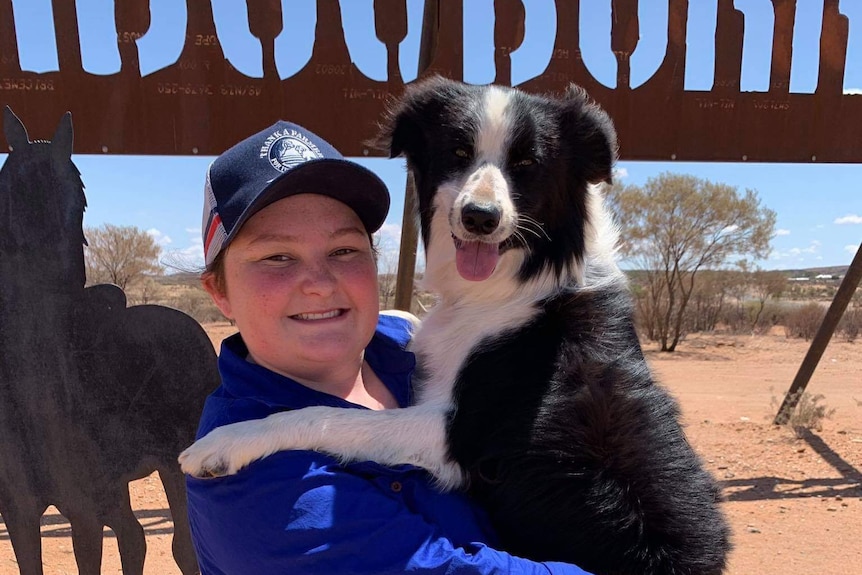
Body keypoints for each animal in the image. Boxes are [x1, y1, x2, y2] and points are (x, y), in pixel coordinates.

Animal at [179, 77, 732, 575]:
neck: (521, 283)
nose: (480, 217)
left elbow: (325, 415)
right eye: (459, 152)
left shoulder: (457, 435)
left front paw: (225, 442)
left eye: (527, 164)